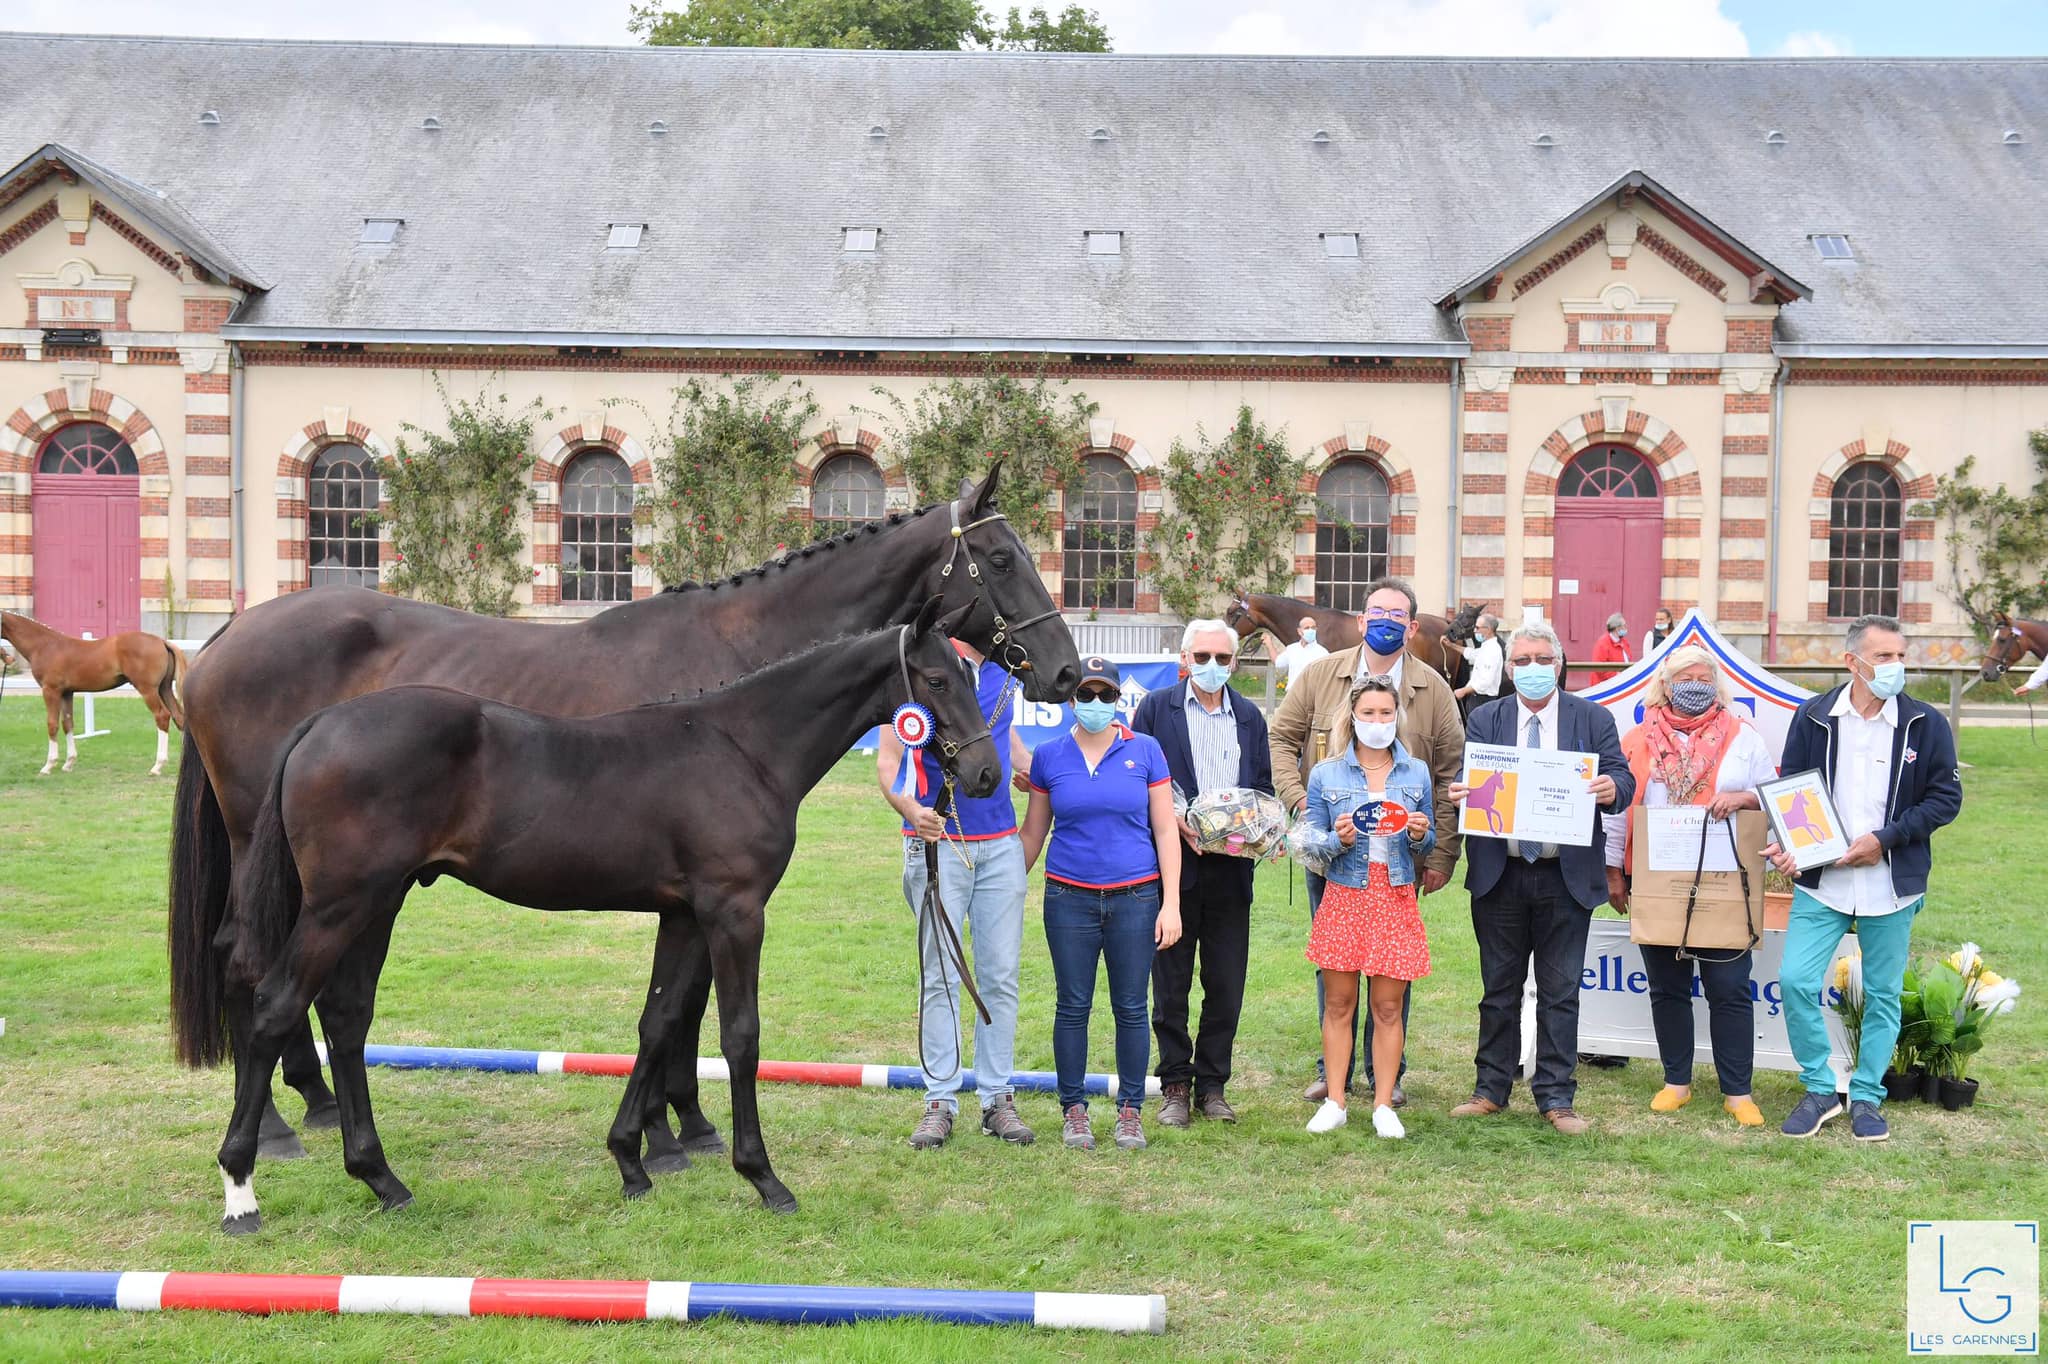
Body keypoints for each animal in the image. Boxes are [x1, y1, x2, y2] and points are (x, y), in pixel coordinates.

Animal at [0, 606, 186, 774]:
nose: (7, 658)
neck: (45, 645)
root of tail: (162, 641)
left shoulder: (50, 691)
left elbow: (52, 724)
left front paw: (48, 765)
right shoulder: (66, 693)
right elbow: (67, 723)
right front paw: (69, 763)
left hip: (148, 690)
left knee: (162, 716)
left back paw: (158, 766)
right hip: (164, 688)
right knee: (179, 717)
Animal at [193, 602, 999, 1228]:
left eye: (970, 676)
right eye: (935, 680)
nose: (987, 774)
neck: (744, 748)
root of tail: (318, 725)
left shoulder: (683, 916)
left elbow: (659, 1021)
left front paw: (631, 1161)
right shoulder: (734, 912)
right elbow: (739, 1037)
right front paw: (763, 1177)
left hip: (378, 902)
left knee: (347, 1015)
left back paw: (381, 1178)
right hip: (342, 904)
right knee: (276, 1005)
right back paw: (242, 1188)